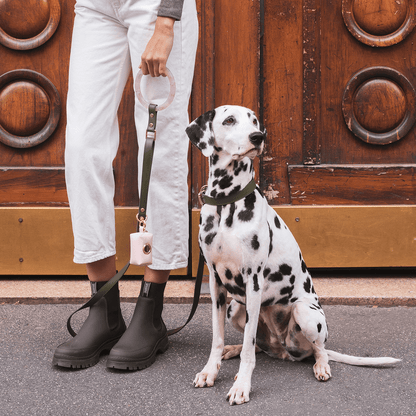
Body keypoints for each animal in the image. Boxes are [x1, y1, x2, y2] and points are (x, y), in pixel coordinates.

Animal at [185, 105, 400, 404]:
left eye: (255, 121)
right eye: (229, 120)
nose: (258, 136)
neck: (226, 201)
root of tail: (283, 348)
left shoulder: (253, 281)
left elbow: (249, 350)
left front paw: (242, 386)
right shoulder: (216, 283)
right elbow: (218, 339)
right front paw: (210, 371)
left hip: (305, 313)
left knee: (317, 350)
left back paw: (320, 365)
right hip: (234, 307)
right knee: (257, 345)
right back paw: (233, 348)